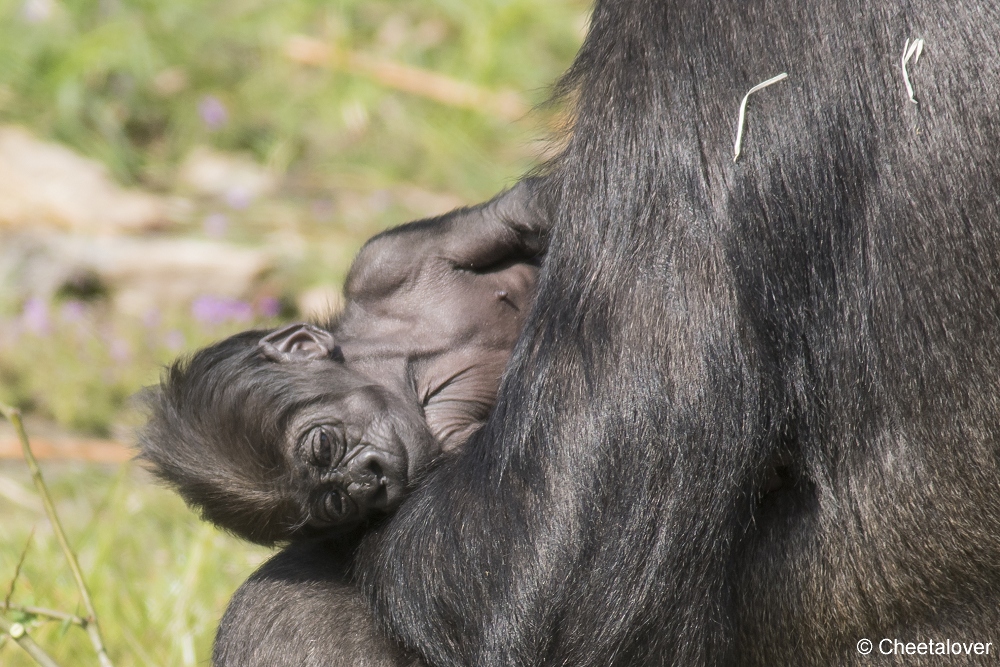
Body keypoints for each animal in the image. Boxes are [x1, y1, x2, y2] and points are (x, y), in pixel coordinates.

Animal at [138, 179, 552, 548]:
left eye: (323, 445)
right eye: (337, 504)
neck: (398, 360)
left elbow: (505, 216)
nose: (364, 479)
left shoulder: (387, 261)